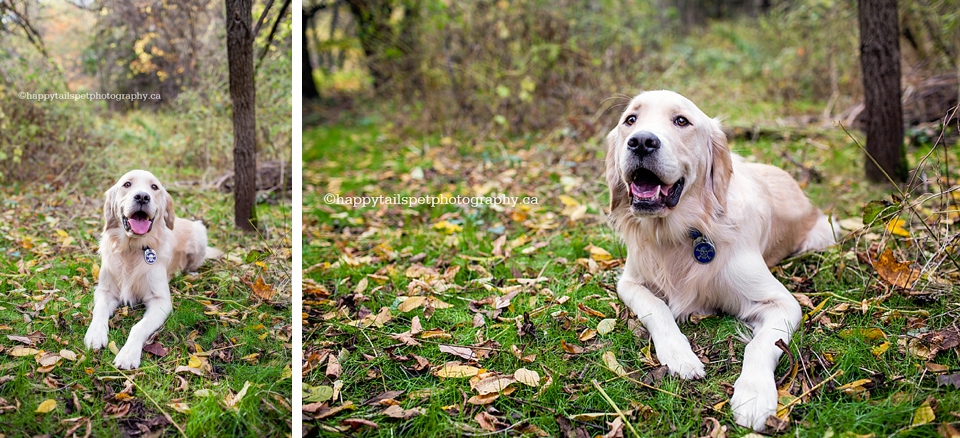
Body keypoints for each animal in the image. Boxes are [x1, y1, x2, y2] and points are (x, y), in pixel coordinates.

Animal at [83, 169, 222, 368]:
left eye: (154, 187)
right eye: (127, 184)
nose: (142, 196)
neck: (132, 249)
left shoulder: (161, 301)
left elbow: (138, 327)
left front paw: (128, 354)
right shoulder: (104, 290)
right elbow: (99, 309)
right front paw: (95, 334)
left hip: (200, 234)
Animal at [604, 90, 836, 432]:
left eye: (681, 121)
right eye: (630, 120)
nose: (642, 141)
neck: (680, 233)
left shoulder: (782, 302)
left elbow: (761, 344)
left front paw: (754, 395)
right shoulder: (629, 282)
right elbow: (656, 307)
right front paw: (679, 355)